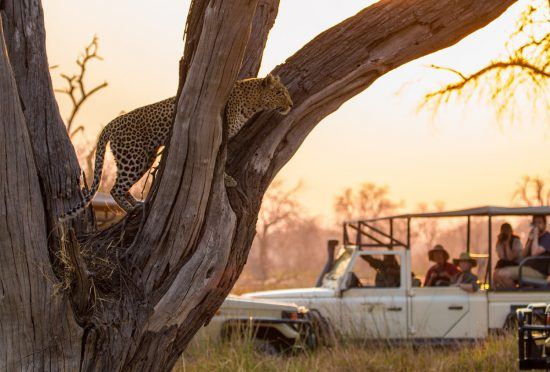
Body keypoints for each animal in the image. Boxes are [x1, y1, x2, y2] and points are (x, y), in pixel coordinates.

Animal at [59, 74, 294, 221]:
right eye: (280, 92)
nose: (291, 105)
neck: (253, 102)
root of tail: (112, 123)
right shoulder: (219, 136)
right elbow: (220, 160)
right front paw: (228, 179)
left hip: (145, 157)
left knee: (121, 187)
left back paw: (138, 204)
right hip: (133, 158)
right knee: (115, 188)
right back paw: (132, 209)